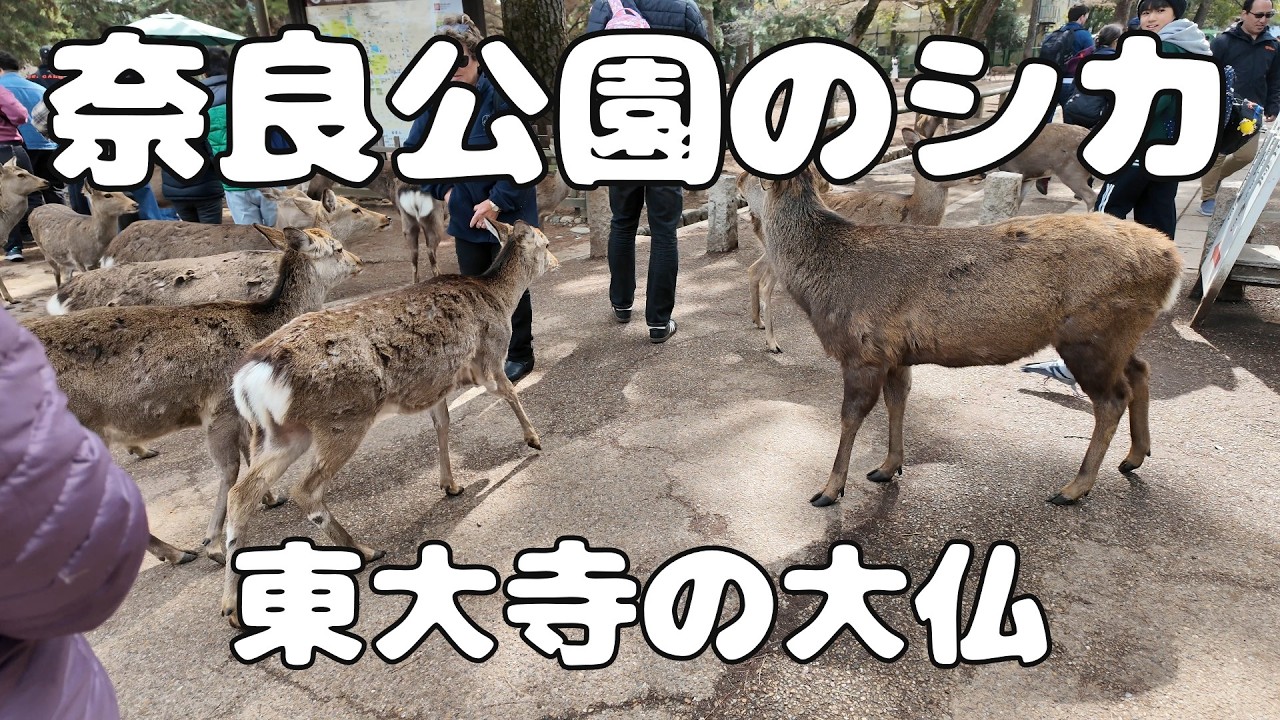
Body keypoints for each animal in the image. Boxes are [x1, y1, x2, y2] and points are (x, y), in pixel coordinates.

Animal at [23, 226, 362, 566]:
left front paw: (269, 497)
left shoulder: (241, 413)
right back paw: (174, 552)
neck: (260, 324)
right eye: (338, 248)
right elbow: (229, 469)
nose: (359, 261)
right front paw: (213, 544)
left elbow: (248, 453)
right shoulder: (219, 406)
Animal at [219, 220, 558, 625]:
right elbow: (510, 393)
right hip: (342, 418)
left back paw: (230, 604)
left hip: (279, 433)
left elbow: (442, 424)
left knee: (242, 493)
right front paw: (534, 439)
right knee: (305, 489)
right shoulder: (489, 359)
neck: (499, 297)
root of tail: (250, 376)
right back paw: (363, 549)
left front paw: (451, 484)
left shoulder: (437, 385)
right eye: (546, 243)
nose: (556, 260)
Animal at [738, 166, 1182, 509]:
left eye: (751, 176)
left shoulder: (863, 350)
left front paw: (829, 489)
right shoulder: (896, 353)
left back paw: (1075, 487)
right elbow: (898, 401)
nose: (735, 180)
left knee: (1112, 399)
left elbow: (850, 417)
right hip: (1118, 335)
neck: (820, 288)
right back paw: (1134, 456)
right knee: (1141, 370)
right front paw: (888, 466)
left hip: (1090, 335)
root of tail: (1173, 262)